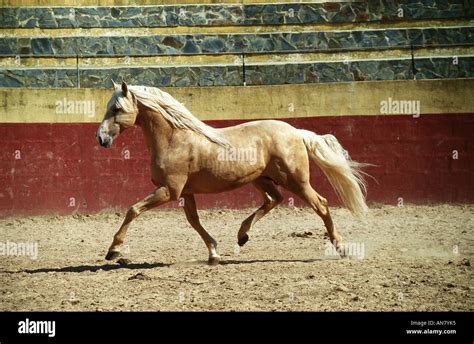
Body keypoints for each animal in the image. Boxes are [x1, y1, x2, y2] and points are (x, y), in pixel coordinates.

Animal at [96, 82, 368, 264]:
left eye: (117, 109)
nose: (101, 138)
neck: (175, 139)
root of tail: (296, 132)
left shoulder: (169, 191)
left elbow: (133, 209)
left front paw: (114, 250)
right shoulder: (185, 193)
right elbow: (194, 221)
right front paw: (214, 254)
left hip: (296, 181)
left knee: (320, 204)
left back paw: (341, 248)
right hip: (262, 179)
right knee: (274, 199)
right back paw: (242, 235)